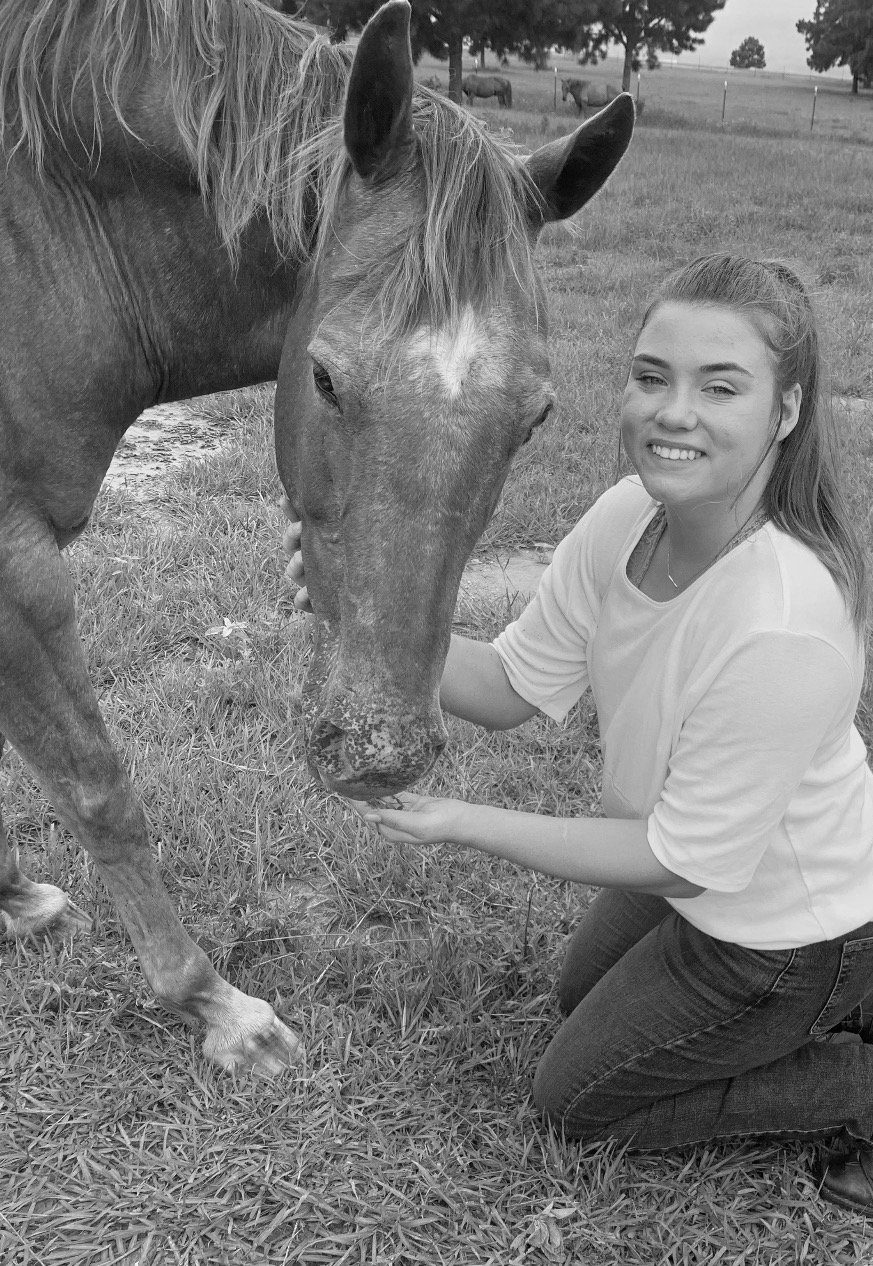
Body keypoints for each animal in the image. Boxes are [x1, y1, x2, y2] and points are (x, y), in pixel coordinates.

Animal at [0, 0, 630, 1073]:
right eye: (325, 377)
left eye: (536, 416)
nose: (377, 755)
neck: (47, 236)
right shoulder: (17, 561)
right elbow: (98, 784)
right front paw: (212, 1005)